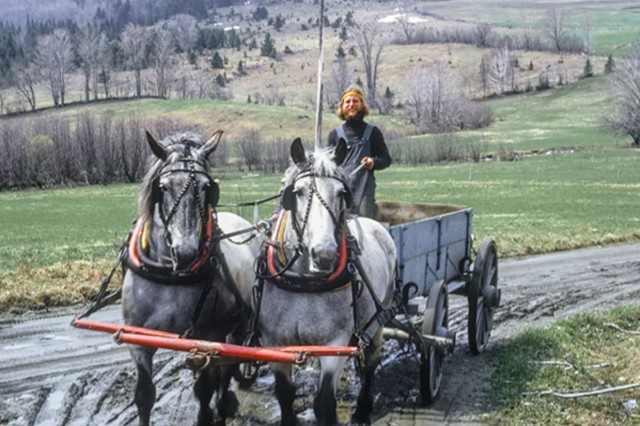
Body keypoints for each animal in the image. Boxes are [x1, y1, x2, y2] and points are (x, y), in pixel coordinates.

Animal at [121, 131, 262, 426]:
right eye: (162, 188)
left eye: (208, 188)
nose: (186, 253)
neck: (171, 275)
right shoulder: (138, 338)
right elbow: (144, 395)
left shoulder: (208, 335)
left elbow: (205, 385)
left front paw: (208, 414)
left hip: (240, 320)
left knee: (228, 364)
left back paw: (224, 401)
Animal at [254, 138, 396, 424]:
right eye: (297, 192)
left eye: (341, 193)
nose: (324, 256)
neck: (304, 281)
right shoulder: (275, 342)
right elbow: (284, 393)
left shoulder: (334, 343)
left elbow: (324, 404)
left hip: (378, 317)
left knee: (371, 360)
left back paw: (363, 407)